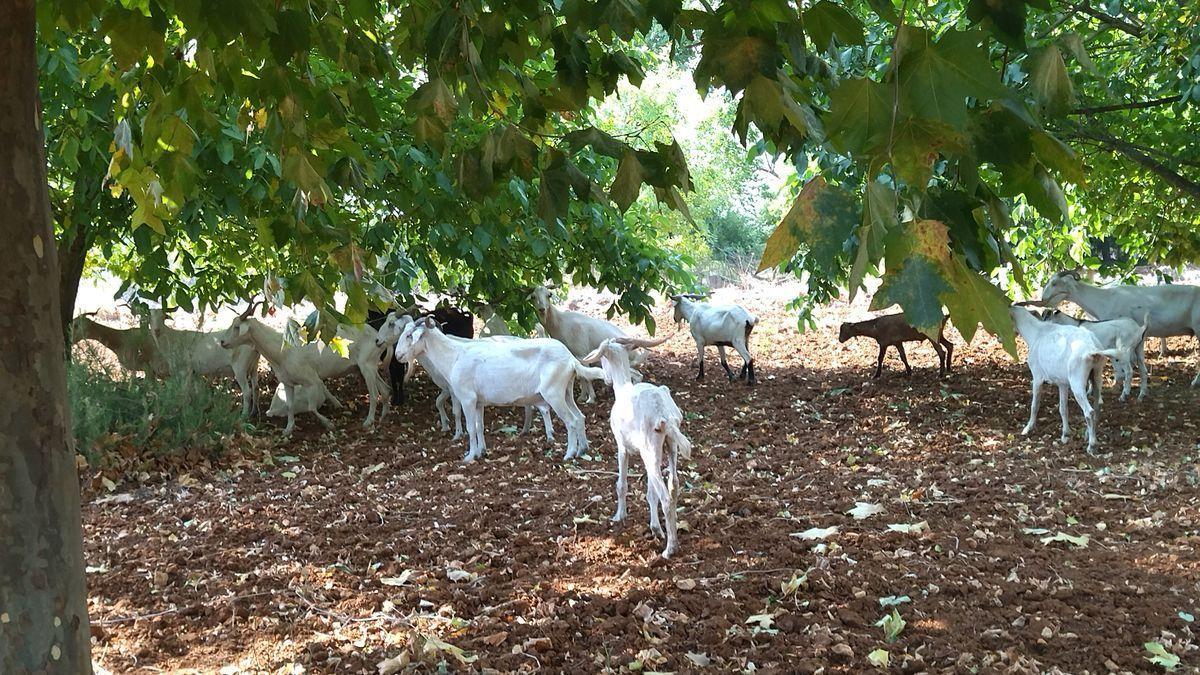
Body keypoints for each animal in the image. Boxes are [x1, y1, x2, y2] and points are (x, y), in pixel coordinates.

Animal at [580, 333, 696, 557]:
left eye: (603, 359)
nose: (606, 378)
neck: (623, 388)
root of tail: (664, 415)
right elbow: (650, 493)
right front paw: (655, 528)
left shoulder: (622, 447)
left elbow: (621, 484)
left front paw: (619, 516)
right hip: (667, 447)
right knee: (673, 486)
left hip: (650, 449)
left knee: (665, 497)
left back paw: (670, 549)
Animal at [1008, 305, 1128, 451]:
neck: (1037, 333)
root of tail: (1091, 348)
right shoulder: (1062, 384)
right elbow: (1063, 408)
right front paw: (1065, 434)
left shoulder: (1037, 377)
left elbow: (1035, 405)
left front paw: (1028, 428)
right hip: (1097, 375)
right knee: (1097, 406)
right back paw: (1089, 435)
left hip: (1077, 383)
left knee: (1089, 411)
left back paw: (1091, 445)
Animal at [1041, 269, 1200, 391]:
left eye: (1055, 283)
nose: (1042, 299)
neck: (1103, 298)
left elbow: (1117, 360)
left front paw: (1118, 382)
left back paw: (1194, 382)